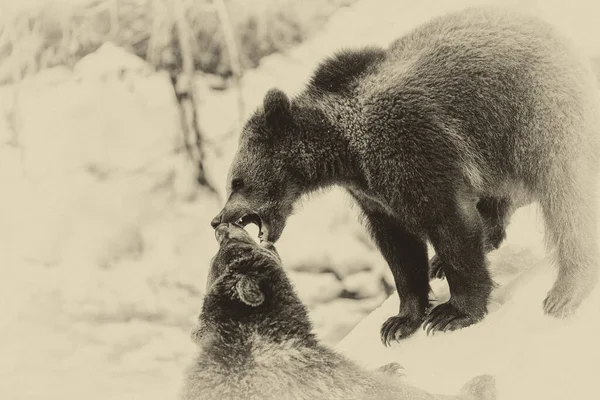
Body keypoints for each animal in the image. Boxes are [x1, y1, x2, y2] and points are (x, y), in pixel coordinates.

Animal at [210, 7, 600, 346]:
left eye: (236, 181)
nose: (217, 219)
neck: (343, 152)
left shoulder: (413, 151)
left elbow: (449, 223)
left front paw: (452, 313)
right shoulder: (374, 193)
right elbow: (400, 250)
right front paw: (400, 321)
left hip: (533, 113)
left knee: (566, 193)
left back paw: (566, 290)